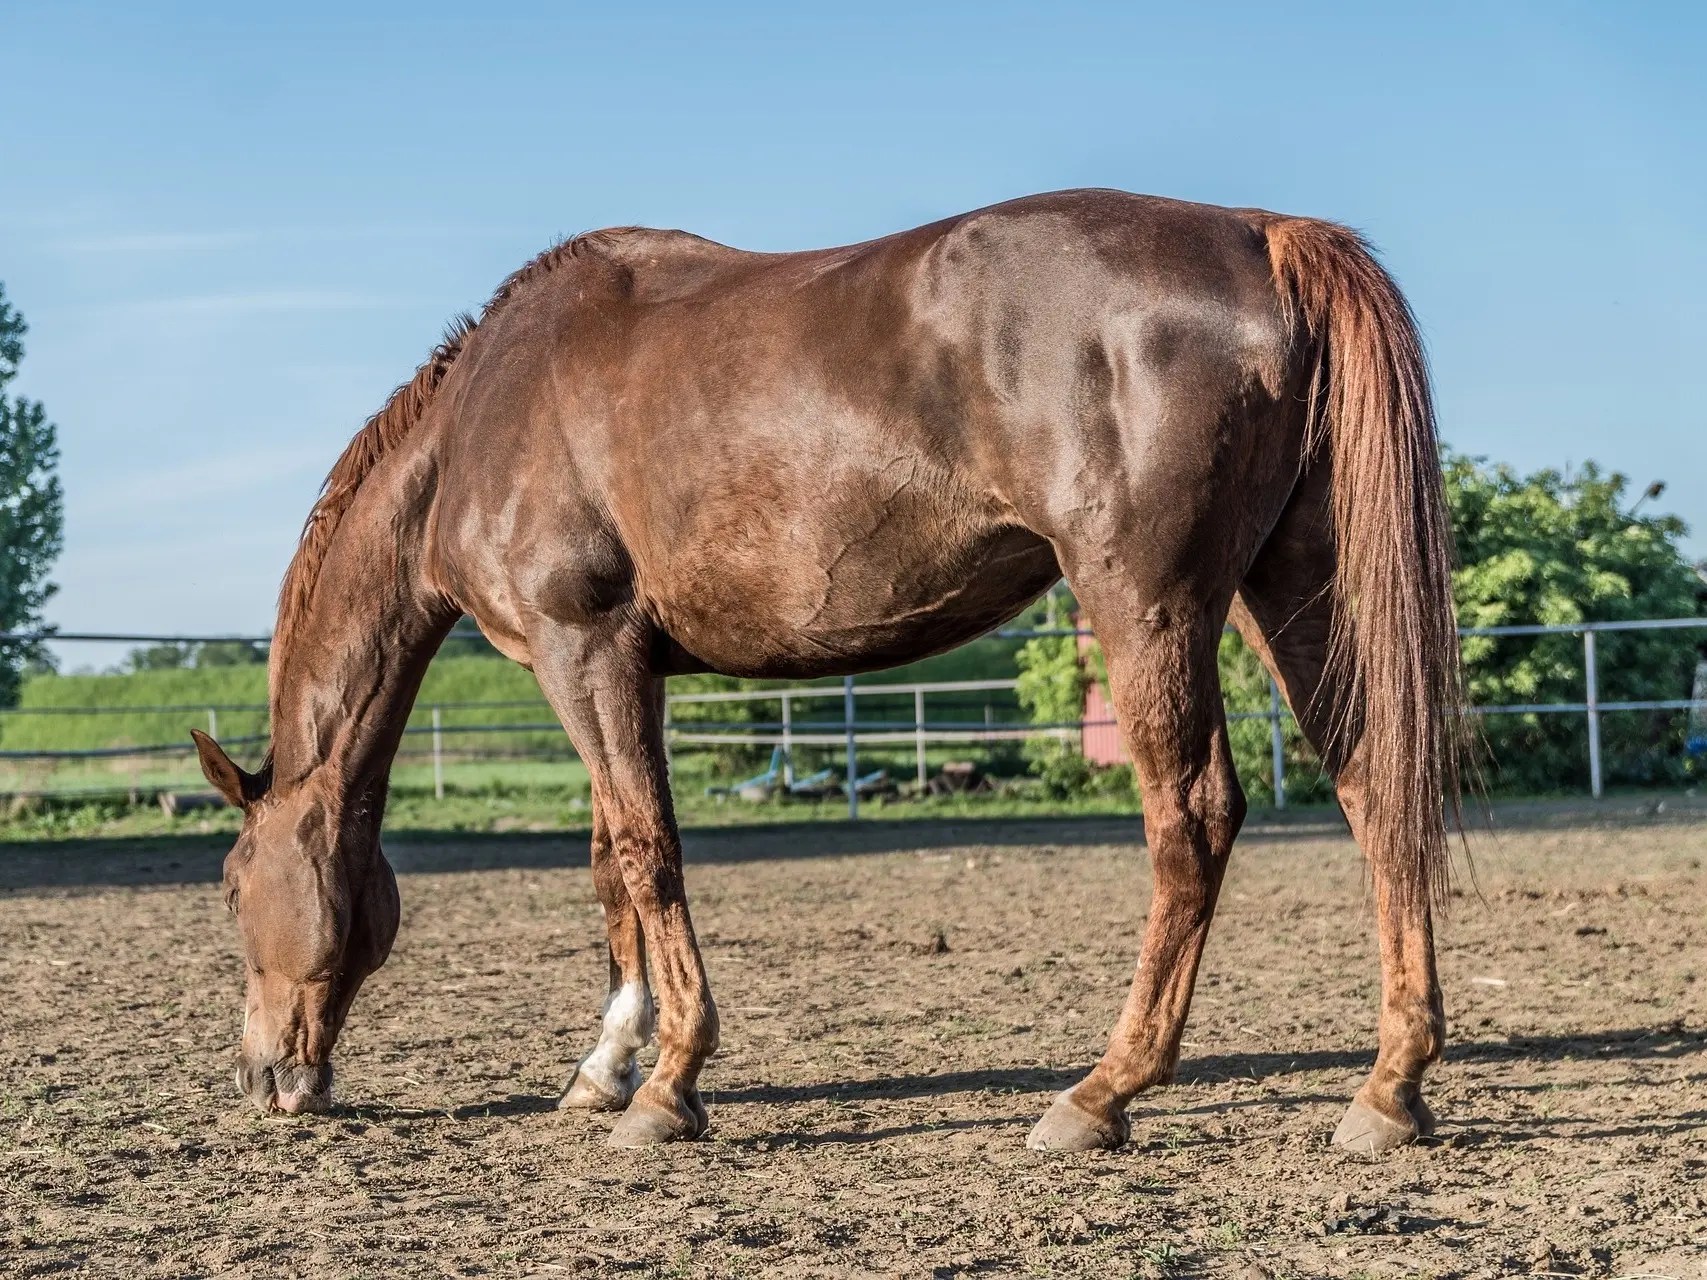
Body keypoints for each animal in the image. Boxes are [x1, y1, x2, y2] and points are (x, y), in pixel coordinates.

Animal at [192, 189, 1464, 1153]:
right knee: (1374, 787)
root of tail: (1259, 233)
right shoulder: (620, 662)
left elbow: (647, 853)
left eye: (230, 882)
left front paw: (667, 1084)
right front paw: (606, 1061)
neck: (481, 417)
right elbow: (611, 860)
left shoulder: (581, 646)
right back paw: (1389, 1087)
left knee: (1193, 817)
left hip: (1146, 606)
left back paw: (1103, 1090)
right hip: (1292, 589)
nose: (263, 1079)